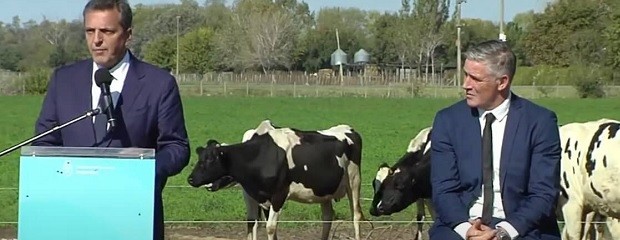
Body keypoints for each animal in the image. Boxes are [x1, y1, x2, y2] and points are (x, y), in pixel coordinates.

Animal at [188, 122, 364, 240]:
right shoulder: (253, 195)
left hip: (354, 181)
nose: (190, 179)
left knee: (356, 215)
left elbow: (271, 228)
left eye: (210, 159)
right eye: (200, 157)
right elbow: (251, 224)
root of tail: (348, 129)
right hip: (323, 191)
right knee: (327, 217)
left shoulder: (279, 195)